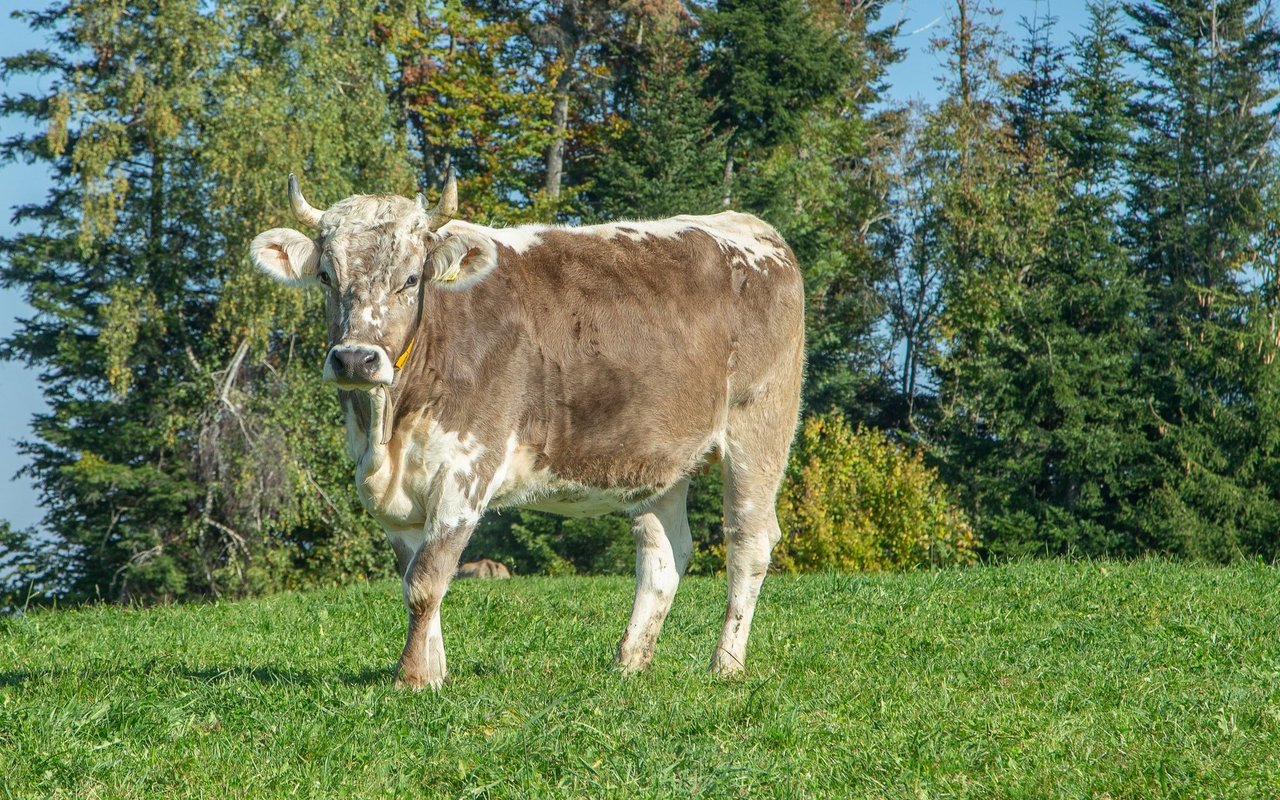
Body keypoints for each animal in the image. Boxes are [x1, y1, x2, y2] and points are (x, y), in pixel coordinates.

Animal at [248, 168, 798, 686]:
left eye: (410, 279)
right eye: (325, 276)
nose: (355, 359)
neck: (388, 432)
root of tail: (751, 229)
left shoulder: (465, 472)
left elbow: (426, 582)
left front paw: (411, 677)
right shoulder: (394, 502)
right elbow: (417, 577)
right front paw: (434, 672)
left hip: (759, 428)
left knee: (748, 541)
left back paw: (726, 664)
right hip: (657, 458)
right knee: (664, 553)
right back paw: (629, 664)